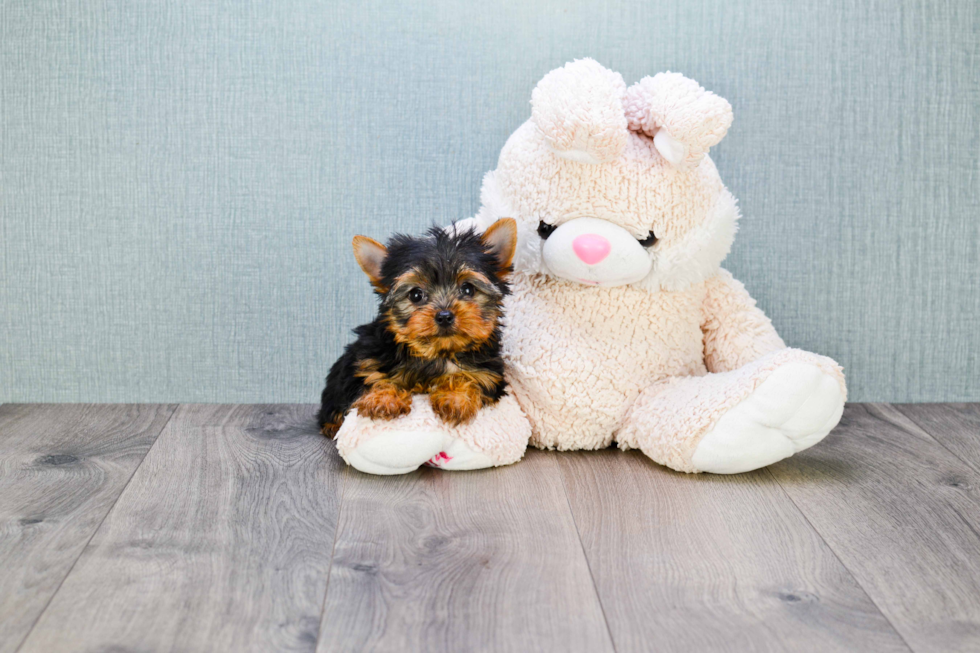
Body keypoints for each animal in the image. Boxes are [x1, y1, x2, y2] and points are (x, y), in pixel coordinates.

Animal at [320, 216, 520, 436]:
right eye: (416, 294)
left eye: (467, 289)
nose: (444, 316)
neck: (436, 355)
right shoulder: (365, 362)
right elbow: (374, 379)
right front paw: (383, 399)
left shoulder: (489, 375)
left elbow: (469, 378)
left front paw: (455, 398)